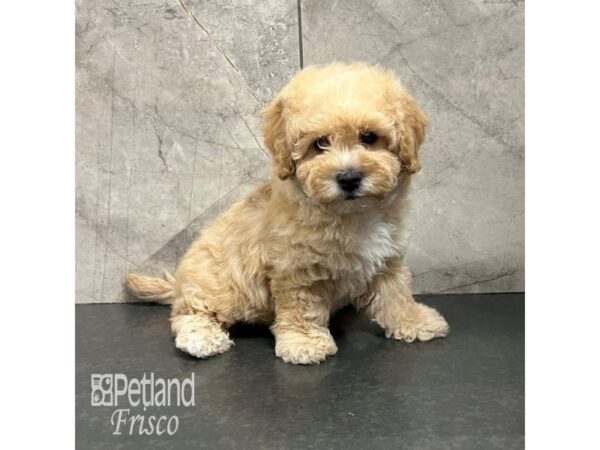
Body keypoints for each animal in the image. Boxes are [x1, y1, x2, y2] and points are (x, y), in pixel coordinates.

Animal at [124, 63, 448, 364]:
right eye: (320, 143)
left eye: (369, 137)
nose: (348, 178)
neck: (350, 215)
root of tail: (178, 283)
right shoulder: (297, 269)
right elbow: (302, 308)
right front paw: (304, 343)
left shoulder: (387, 261)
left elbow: (396, 295)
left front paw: (414, 321)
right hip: (216, 285)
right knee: (188, 313)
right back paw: (202, 338)